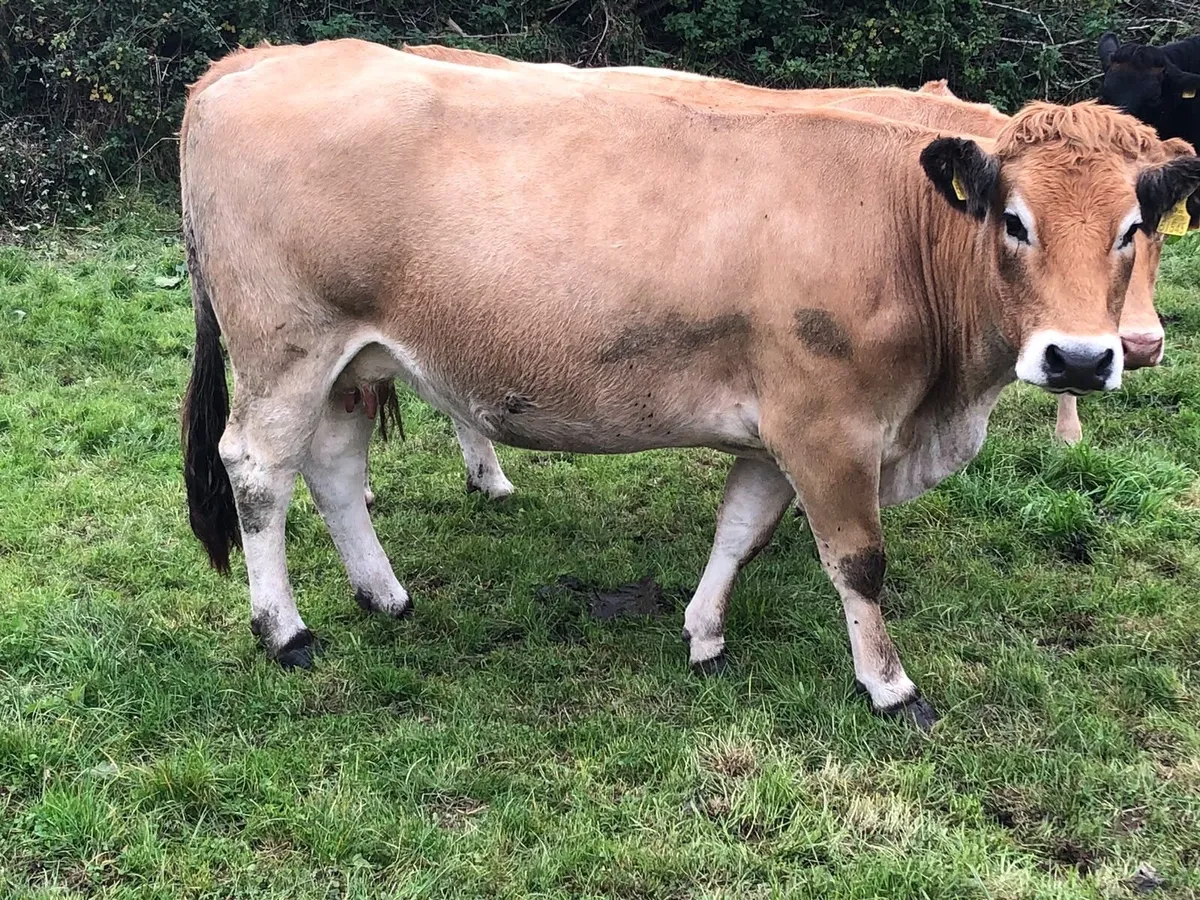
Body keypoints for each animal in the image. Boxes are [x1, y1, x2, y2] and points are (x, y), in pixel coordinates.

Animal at [180, 39, 1200, 728]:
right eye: (1014, 221)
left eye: (1133, 226)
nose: (1088, 358)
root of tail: (248, 64)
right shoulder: (830, 426)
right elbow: (858, 561)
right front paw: (889, 684)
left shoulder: (781, 426)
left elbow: (740, 531)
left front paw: (704, 634)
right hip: (286, 346)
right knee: (259, 471)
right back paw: (286, 630)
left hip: (354, 359)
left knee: (335, 468)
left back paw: (384, 593)